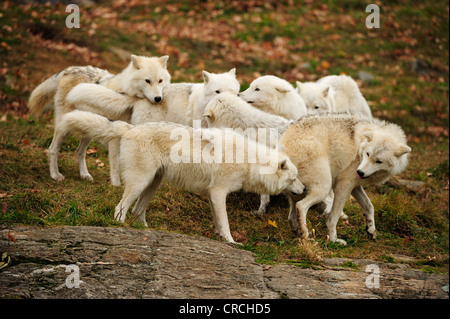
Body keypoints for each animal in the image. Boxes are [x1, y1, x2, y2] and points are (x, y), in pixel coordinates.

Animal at [28, 54, 171, 185]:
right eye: (147, 81)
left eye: (160, 81)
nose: (158, 98)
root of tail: (68, 69)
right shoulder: (115, 134)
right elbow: (115, 163)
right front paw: (116, 185)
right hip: (64, 128)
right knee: (52, 149)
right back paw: (55, 175)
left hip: (88, 129)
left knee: (80, 151)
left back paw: (84, 175)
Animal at [282, 114, 412, 245]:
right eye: (368, 154)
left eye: (379, 161)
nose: (360, 172)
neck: (360, 147)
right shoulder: (344, 185)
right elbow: (333, 218)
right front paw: (333, 240)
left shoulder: (355, 186)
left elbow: (369, 206)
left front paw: (371, 230)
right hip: (324, 187)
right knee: (301, 206)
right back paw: (305, 234)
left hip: (299, 192)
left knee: (291, 216)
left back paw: (299, 234)